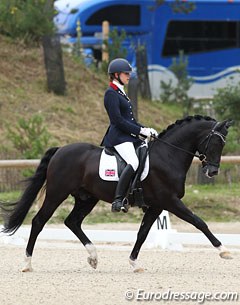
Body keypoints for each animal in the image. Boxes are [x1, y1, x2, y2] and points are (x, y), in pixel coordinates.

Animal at [0, 114, 232, 270]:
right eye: (215, 142)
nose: (212, 172)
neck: (168, 155)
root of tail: (60, 150)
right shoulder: (170, 201)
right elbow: (198, 222)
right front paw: (224, 251)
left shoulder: (157, 206)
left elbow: (142, 233)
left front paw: (134, 263)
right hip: (57, 193)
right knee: (39, 221)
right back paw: (27, 263)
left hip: (87, 198)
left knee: (72, 222)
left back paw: (93, 257)